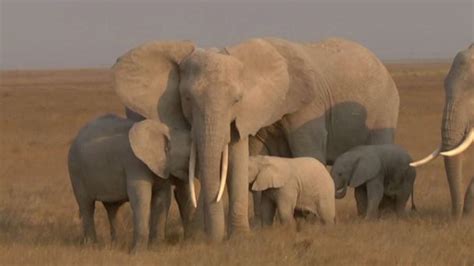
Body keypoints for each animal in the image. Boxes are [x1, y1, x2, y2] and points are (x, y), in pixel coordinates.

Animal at [67, 114, 193, 251]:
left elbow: (162, 198)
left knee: (112, 209)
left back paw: (115, 245)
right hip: (76, 171)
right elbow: (141, 199)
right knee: (87, 205)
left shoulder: (161, 167)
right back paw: (92, 246)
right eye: (189, 157)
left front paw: (156, 249)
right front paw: (138, 252)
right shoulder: (135, 164)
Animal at [113, 35, 398, 241]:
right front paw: (257, 231)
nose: (210, 240)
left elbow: (306, 151)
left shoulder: (308, 106)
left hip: (383, 106)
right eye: (187, 99)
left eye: (237, 99)